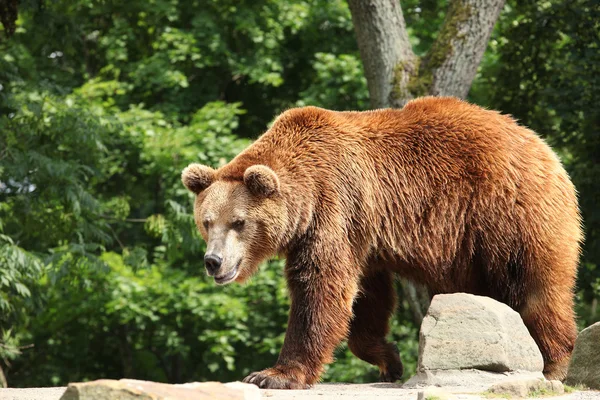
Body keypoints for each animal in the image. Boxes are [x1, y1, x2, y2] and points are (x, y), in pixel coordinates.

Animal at [182, 96, 580, 388]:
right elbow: (366, 298)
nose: (213, 261)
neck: (304, 202)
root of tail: (544, 147)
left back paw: (555, 362)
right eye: (206, 222)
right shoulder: (363, 232)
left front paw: (272, 374)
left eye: (238, 222)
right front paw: (390, 360)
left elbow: (320, 289)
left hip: (506, 213)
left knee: (532, 284)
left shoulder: (332, 208)